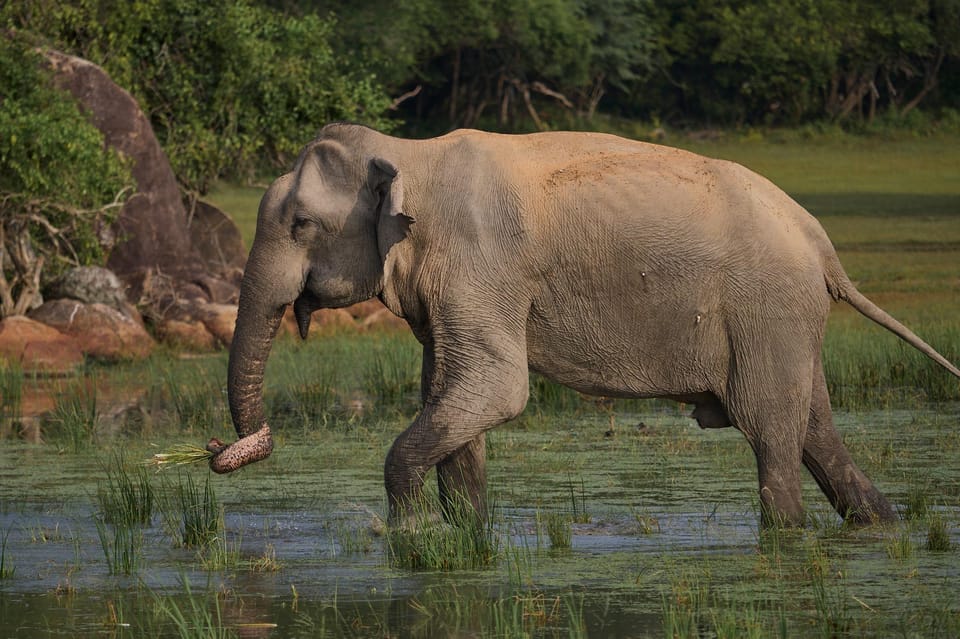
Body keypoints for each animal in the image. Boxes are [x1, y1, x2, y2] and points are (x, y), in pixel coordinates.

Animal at [210, 122, 960, 528]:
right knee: (817, 431)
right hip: (788, 322)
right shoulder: (450, 287)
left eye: (300, 224)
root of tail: (822, 243)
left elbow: (496, 388)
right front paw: (465, 539)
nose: (232, 446)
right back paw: (882, 527)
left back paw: (787, 536)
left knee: (771, 436)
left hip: (766, 310)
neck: (408, 152)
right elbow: (452, 399)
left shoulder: (477, 264)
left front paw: (404, 540)